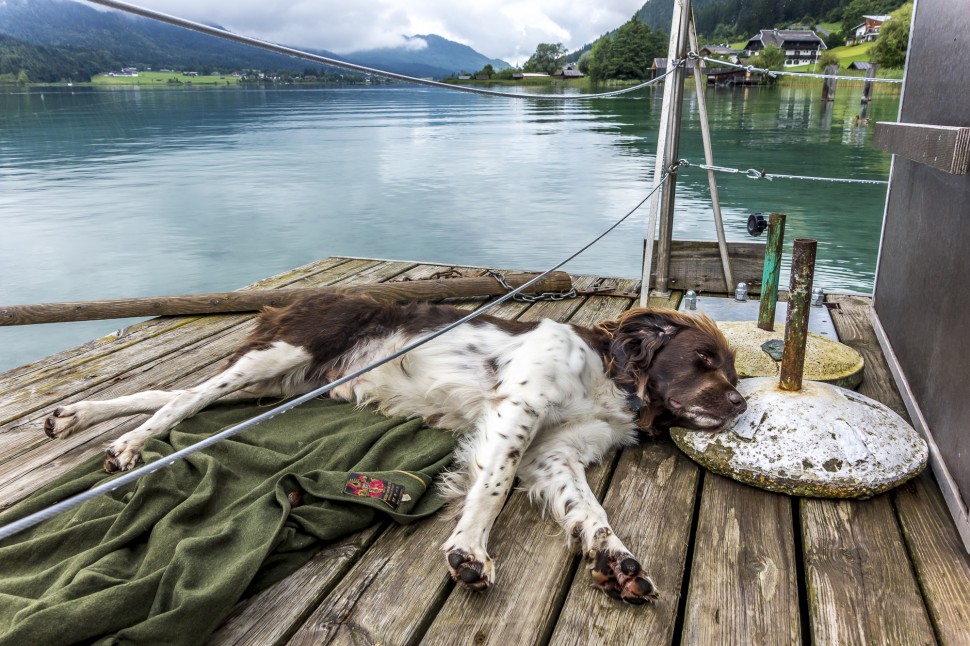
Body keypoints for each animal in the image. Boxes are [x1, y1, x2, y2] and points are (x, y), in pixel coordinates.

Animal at [43, 294, 740, 608]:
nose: (740, 406)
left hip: (282, 388)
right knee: (183, 402)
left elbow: (590, 514)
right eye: (703, 360)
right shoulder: (518, 409)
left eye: (733, 369)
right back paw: (126, 446)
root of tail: (292, 298)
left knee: (172, 393)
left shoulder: (556, 455)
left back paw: (76, 415)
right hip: (276, 357)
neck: (610, 378)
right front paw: (468, 551)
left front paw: (618, 563)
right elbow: (492, 486)